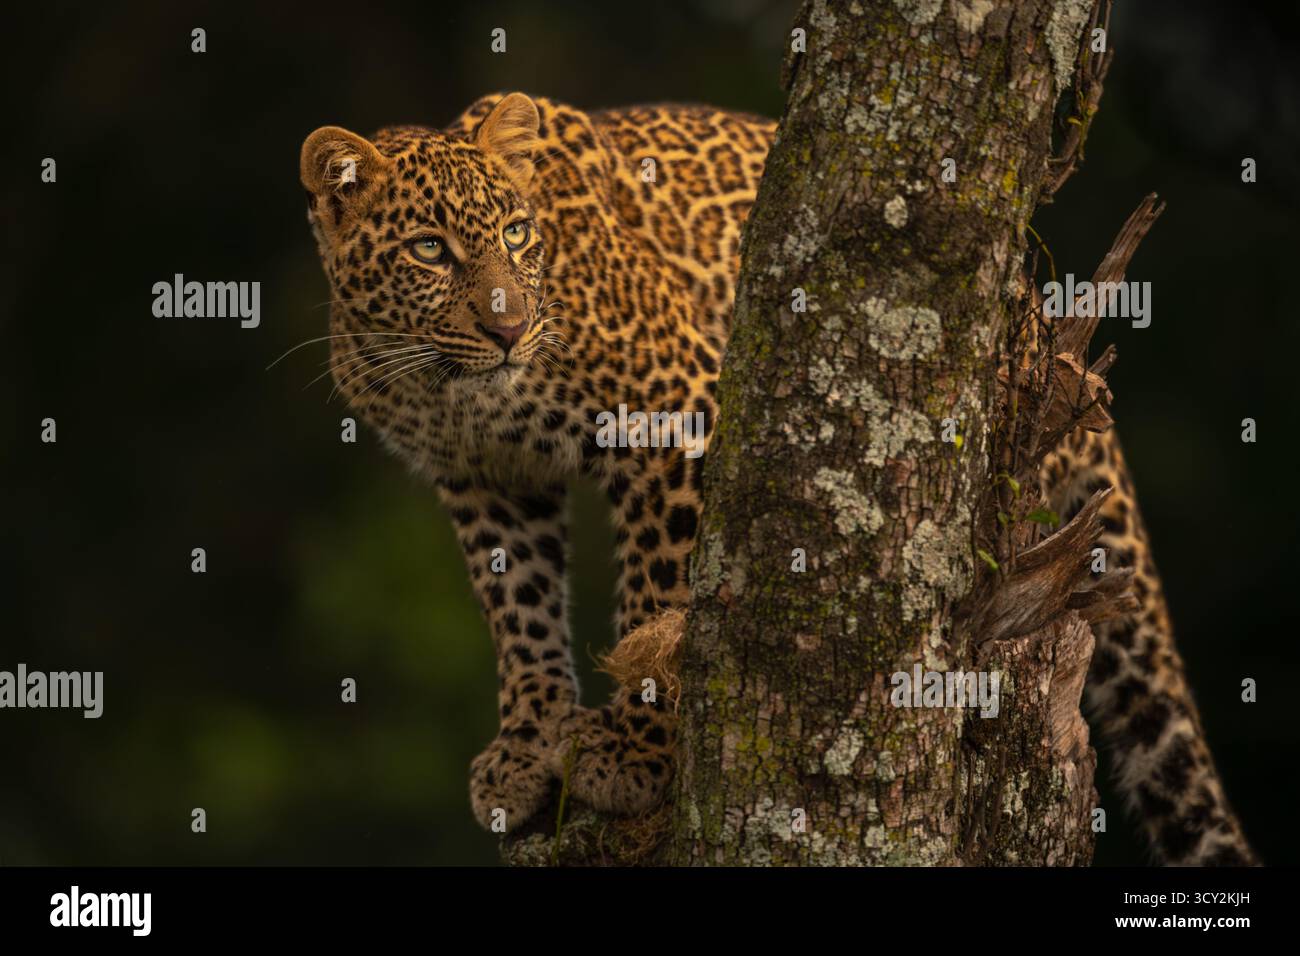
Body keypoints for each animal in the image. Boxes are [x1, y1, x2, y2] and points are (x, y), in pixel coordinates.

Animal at [299, 91, 1254, 865]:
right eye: (430, 249)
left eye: (515, 235)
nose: (509, 330)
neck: (448, 388)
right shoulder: (484, 481)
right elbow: (519, 613)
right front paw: (528, 743)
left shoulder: (672, 415)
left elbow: (659, 595)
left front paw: (637, 752)